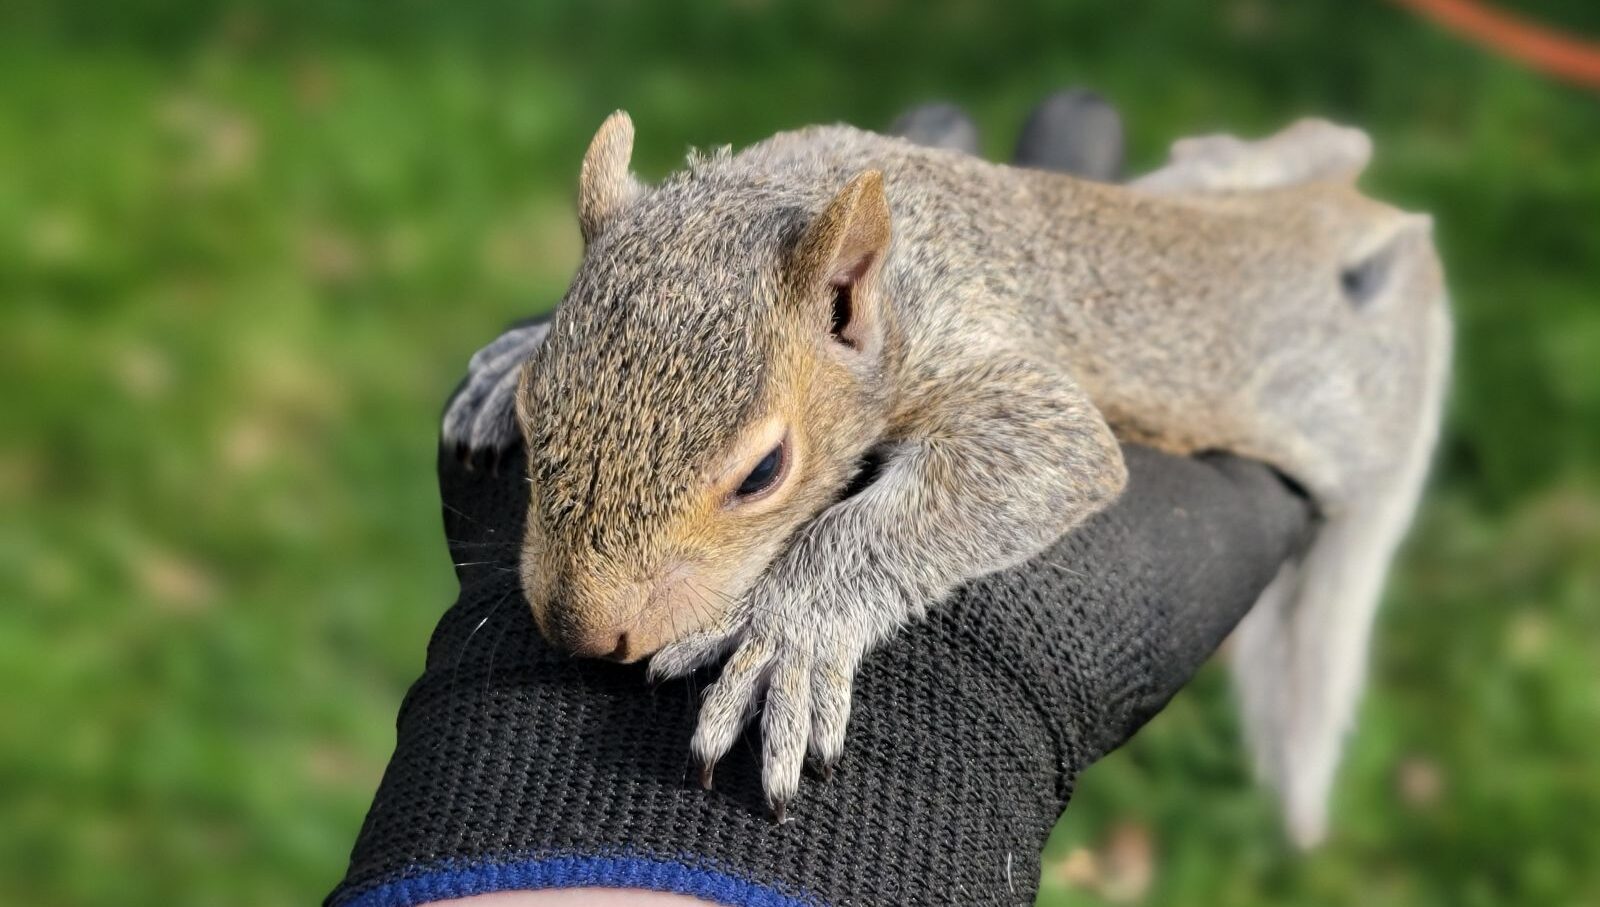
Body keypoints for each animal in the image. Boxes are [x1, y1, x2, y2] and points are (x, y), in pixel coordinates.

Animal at [442, 107, 1451, 844]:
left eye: (764, 471)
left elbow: (1015, 464)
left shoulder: (999, 376)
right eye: (536, 407)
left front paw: (785, 632)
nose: (582, 628)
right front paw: (502, 364)